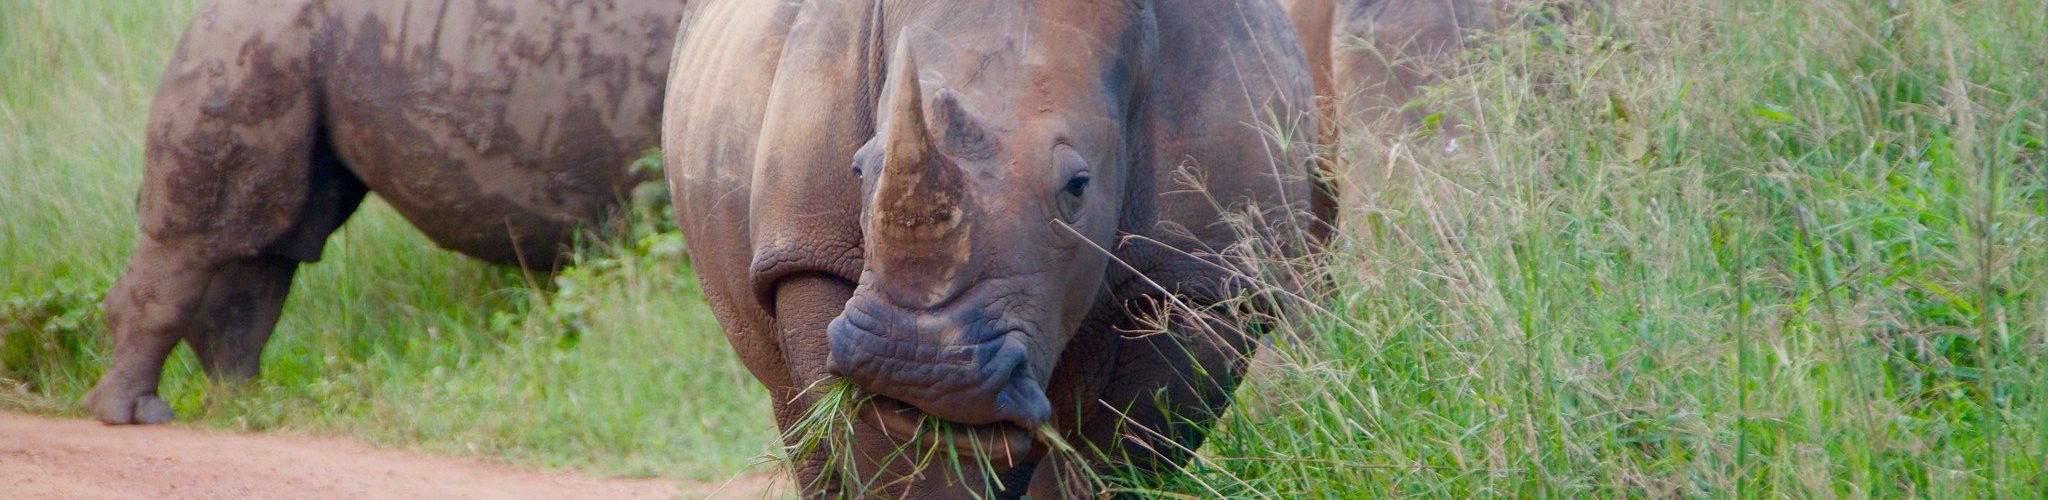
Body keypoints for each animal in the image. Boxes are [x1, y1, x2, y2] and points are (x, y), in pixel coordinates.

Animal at [85, 0, 686, 425]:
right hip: (250, 41)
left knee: (273, 240)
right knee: (212, 236)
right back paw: (136, 415)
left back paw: (245, 404)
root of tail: (201, 13)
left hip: (289, 42)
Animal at [665, 0, 1322, 495]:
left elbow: (1119, 453)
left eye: (1078, 186)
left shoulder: (1206, 281)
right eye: (858, 169)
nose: (917, 366)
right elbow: (896, 458)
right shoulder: (807, 252)